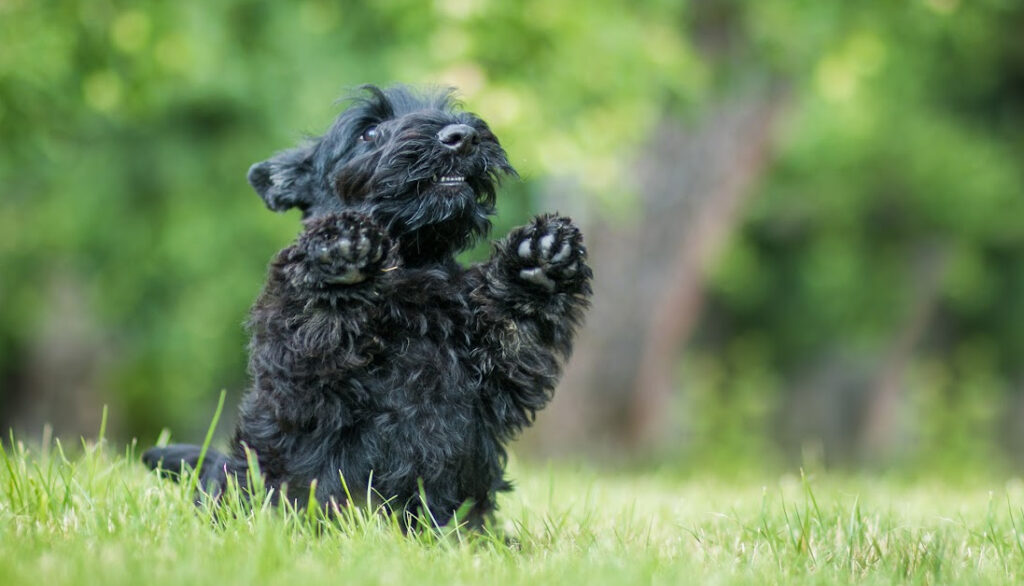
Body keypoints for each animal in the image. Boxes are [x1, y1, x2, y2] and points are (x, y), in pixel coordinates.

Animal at [143, 86, 593, 524]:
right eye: (368, 132)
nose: (461, 136)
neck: (413, 265)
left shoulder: (502, 371)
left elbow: (516, 323)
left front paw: (540, 258)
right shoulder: (299, 370)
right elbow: (316, 316)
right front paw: (342, 247)